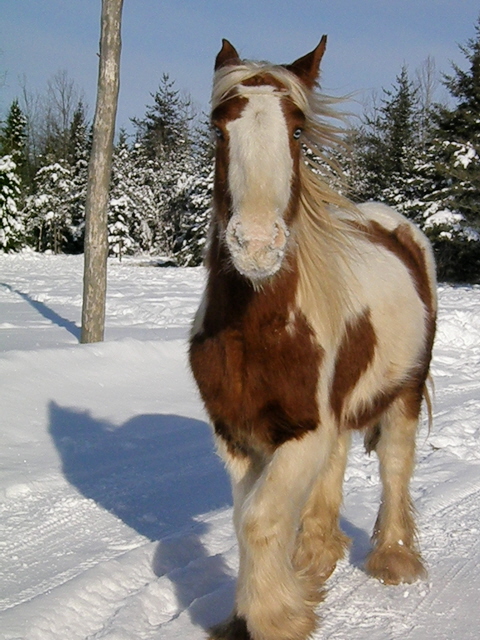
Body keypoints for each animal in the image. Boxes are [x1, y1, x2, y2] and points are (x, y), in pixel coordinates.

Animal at [189, 37, 436, 640]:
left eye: (297, 131)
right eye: (217, 128)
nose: (256, 244)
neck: (255, 331)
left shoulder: (305, 431)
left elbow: (259, 519)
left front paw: (279, 618)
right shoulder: (237, 434)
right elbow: (245, 517)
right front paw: (254, 611)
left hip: (404, 391)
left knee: (396, 462)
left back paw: (393, 559)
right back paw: (317, 555)